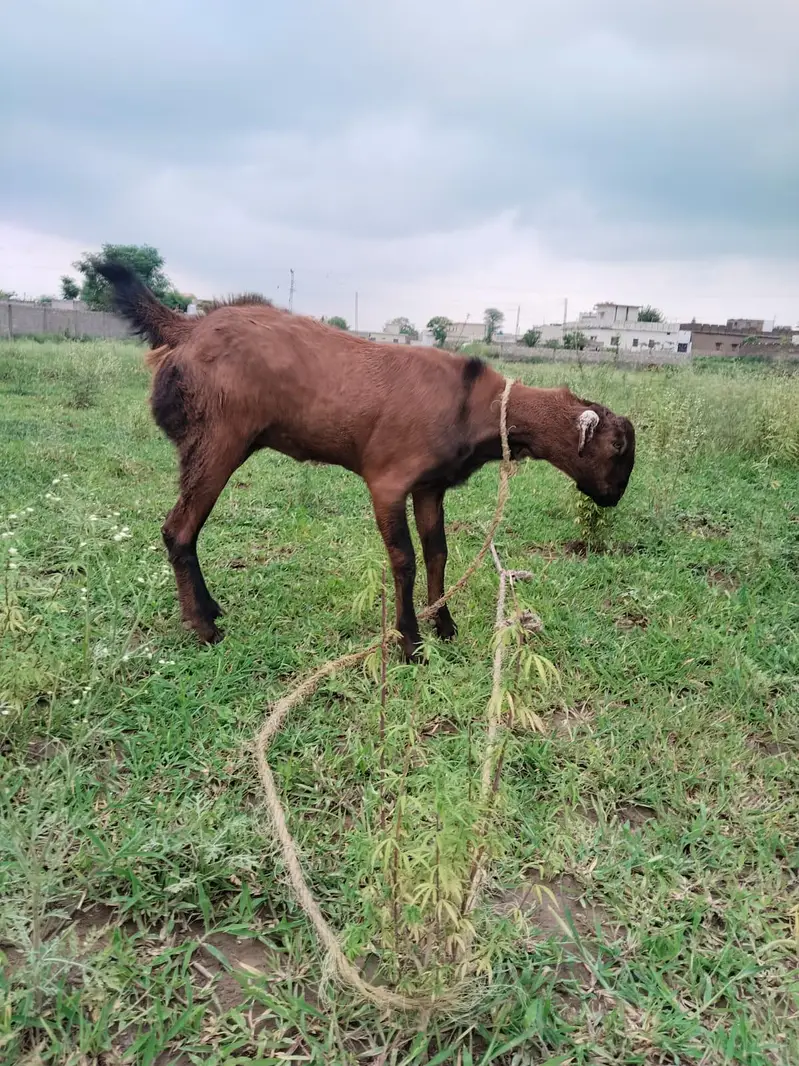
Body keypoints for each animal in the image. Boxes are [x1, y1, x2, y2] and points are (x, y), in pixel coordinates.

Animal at [98, 260, 635, 660]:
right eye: (616, 449)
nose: (612, 500)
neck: (476, 406)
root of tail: (186, 327)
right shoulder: (389, 481)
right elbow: (405, 559)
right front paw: (409, 643)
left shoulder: (429, 485)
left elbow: (437, 552)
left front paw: (444, 625)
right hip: (218, 437)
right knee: (179, 529)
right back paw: (204, 627)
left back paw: (211, 611)